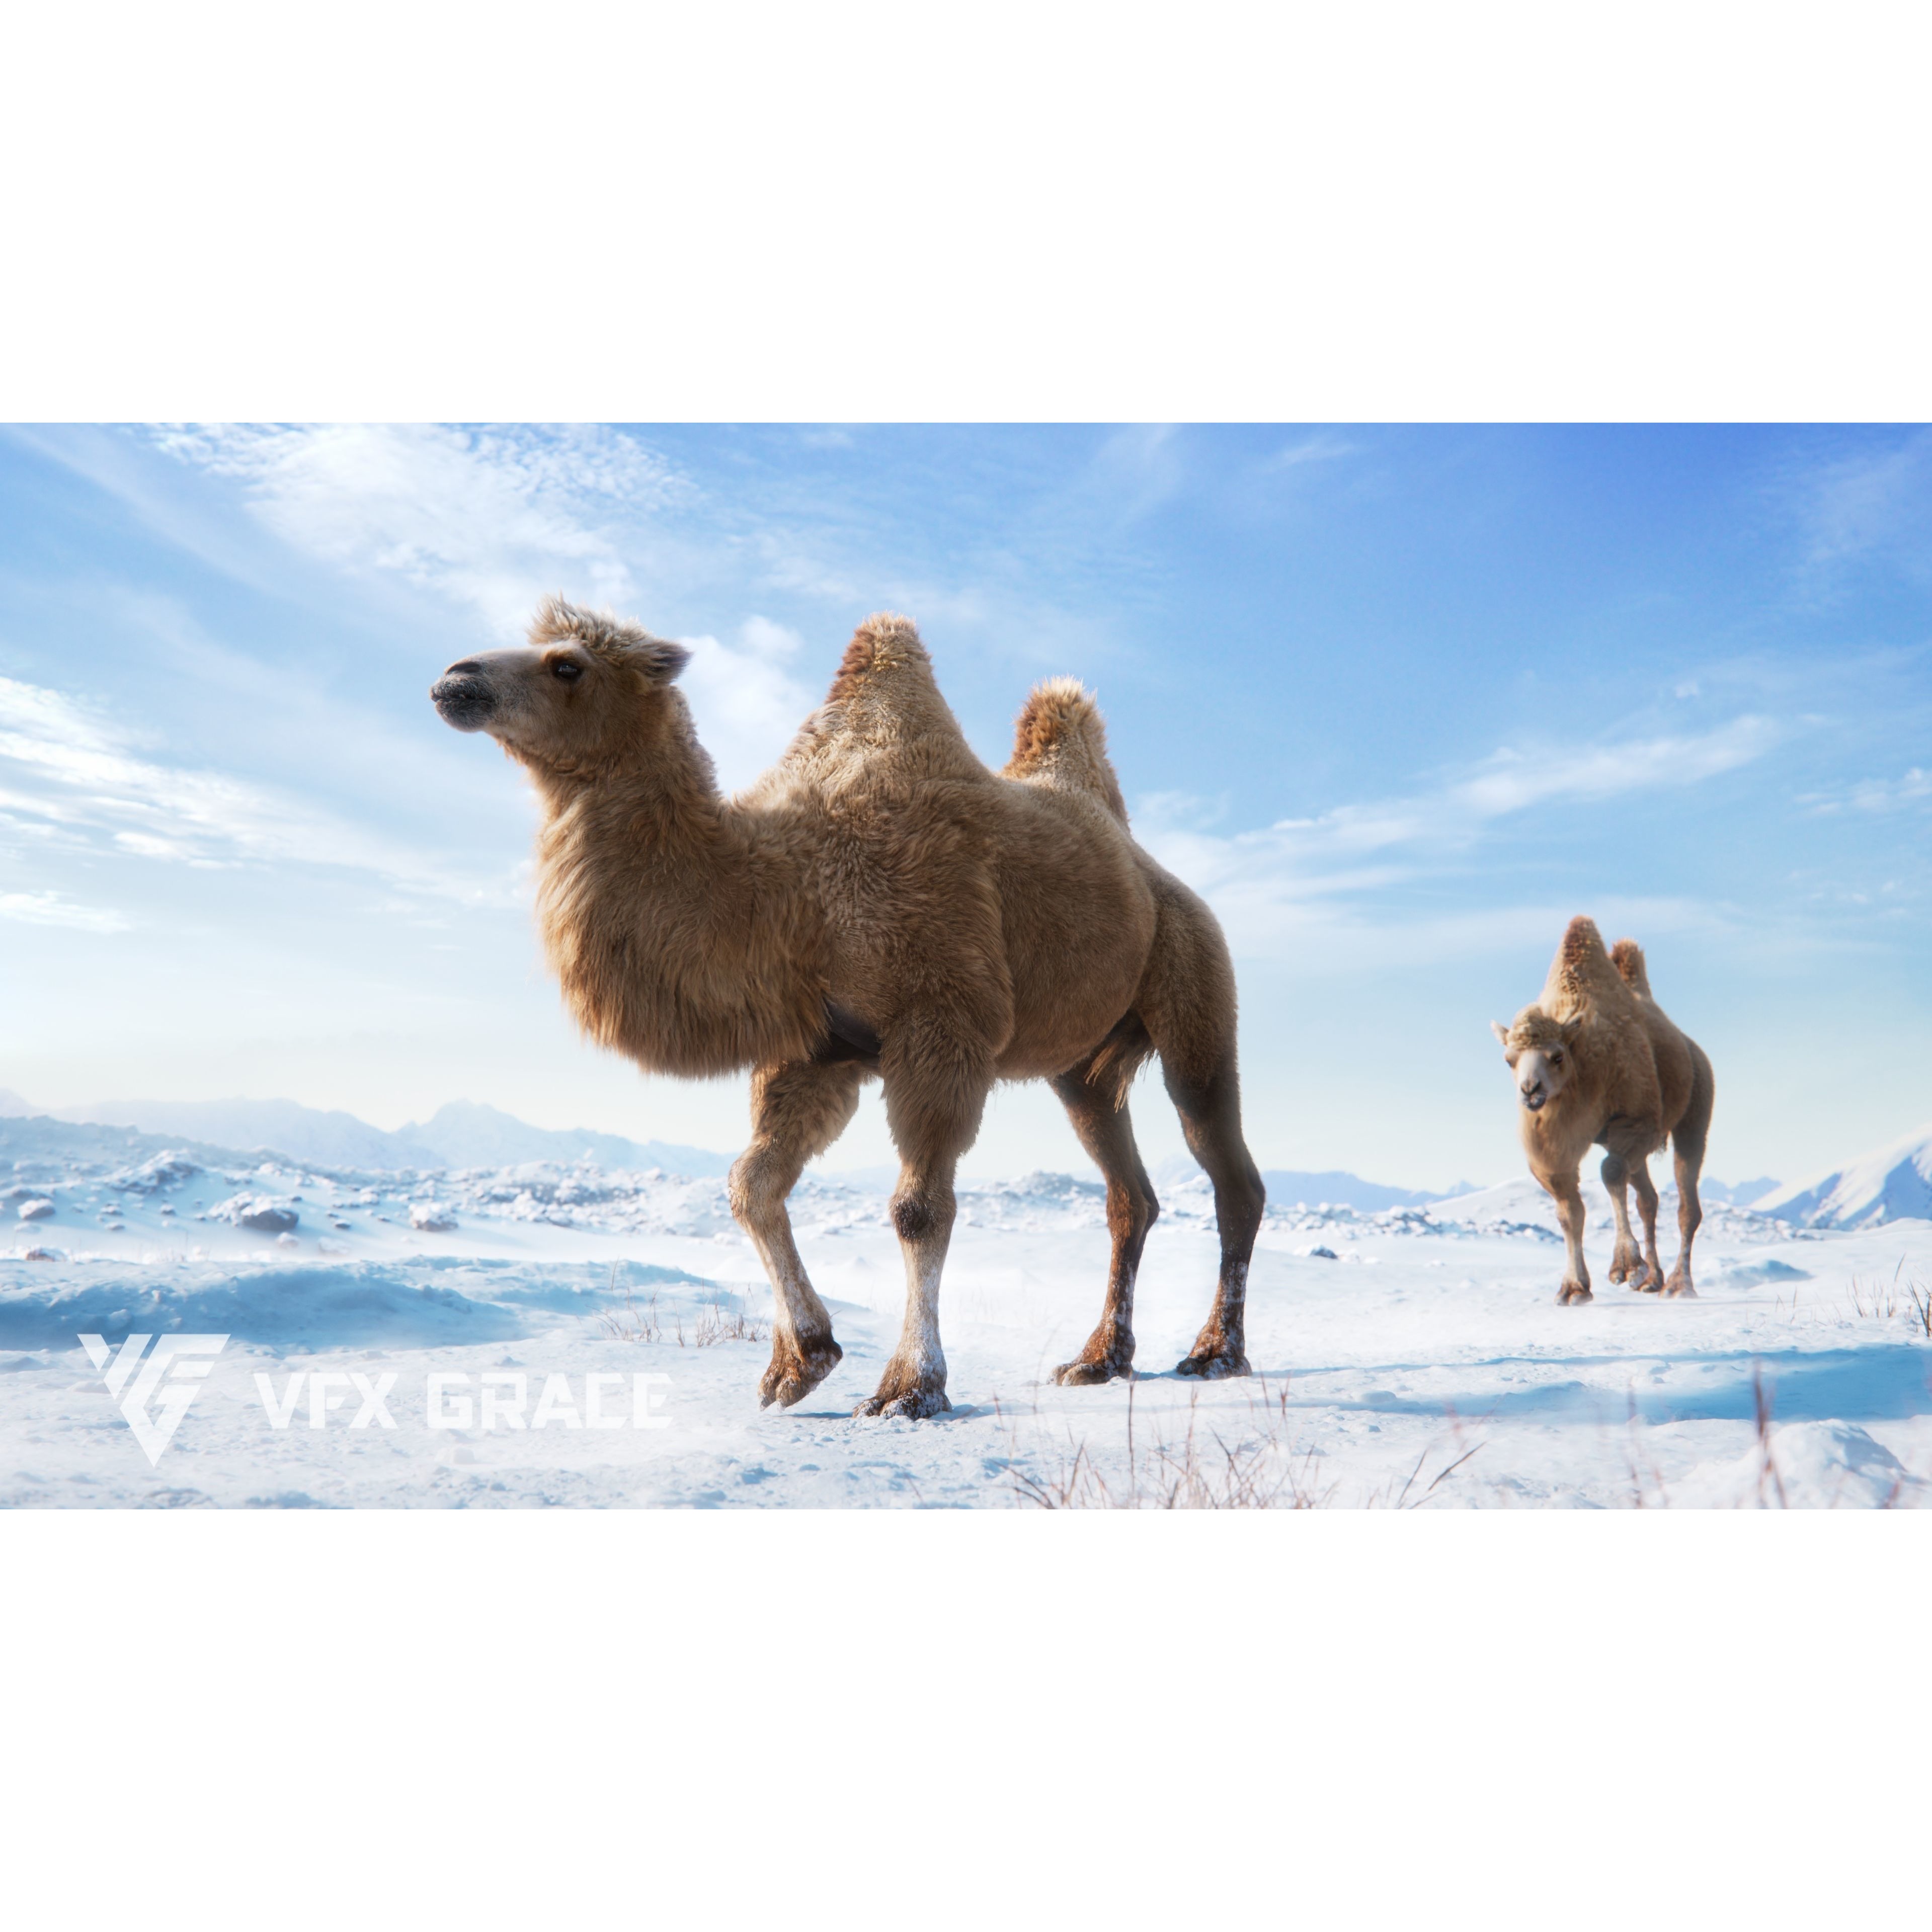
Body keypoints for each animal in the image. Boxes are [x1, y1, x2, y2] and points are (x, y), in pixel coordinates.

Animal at [430, 598, 1265, 1417]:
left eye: (567, 666)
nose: (454, 681)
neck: (791, 888)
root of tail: (1160, 876)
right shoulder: (816, 1053)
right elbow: (751, 1185)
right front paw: (801, 1362)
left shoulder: (941, 1023)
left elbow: (918, 1209)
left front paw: (910, 1389)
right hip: (1083, 1069)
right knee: (1130, 1196)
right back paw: (1100, 1360)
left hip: (1195, 985)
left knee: (1229, 1170)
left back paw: (1215, 1354)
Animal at [1490, 917, 1713, 1304]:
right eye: (1509, 1060)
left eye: (1557, 1056)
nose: (1531, 1091)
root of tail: (1693, 1049)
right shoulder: (1557, 1150)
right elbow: (1569, 1210)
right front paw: (1574, 1288)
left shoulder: (1638, 1121)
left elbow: (1610, 1173)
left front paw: (1626, 1267)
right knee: (1648, 1199)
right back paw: (1653, 1280)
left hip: (1694, 1113)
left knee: (1687, 1203)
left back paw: (1678, 1285)